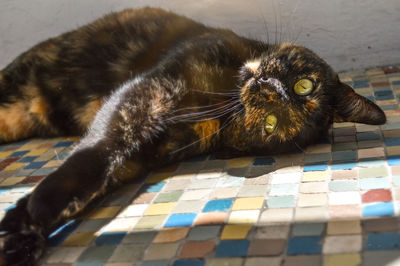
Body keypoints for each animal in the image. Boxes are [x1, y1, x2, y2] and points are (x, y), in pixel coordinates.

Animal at [0, 6, 384, 266]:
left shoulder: (145, 152)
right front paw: (34, 214)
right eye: (305, 85)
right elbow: (102, 143)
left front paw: (22, 229)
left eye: (271, 124)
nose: (266, 87)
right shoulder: (150, 90)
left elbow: (97, 180)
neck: (221, 95)